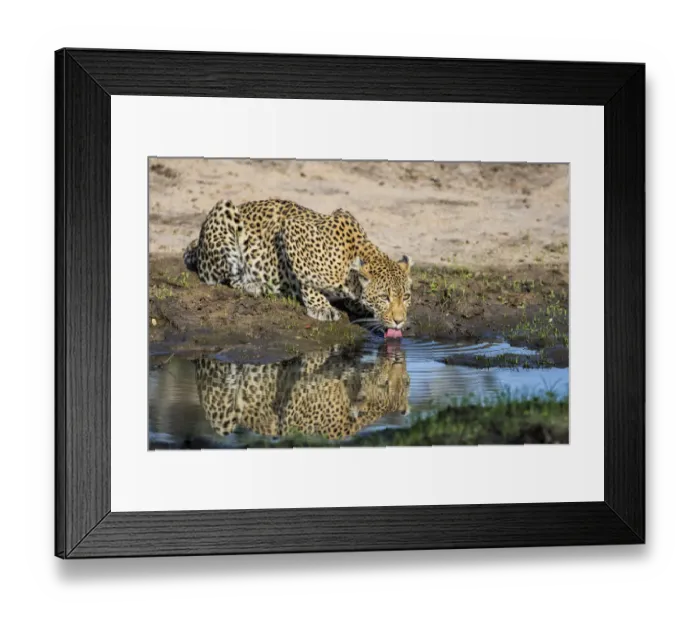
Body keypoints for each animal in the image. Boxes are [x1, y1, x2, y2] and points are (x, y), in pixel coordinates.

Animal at [184, 198, 413, 333]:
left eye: (407, 297)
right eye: (384, 297)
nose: (400, 321)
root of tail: (198, 243)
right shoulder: (291, 229)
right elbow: (307, 280)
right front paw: (321, 307)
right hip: (224, 212)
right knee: (222, 278)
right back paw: (253, 285)